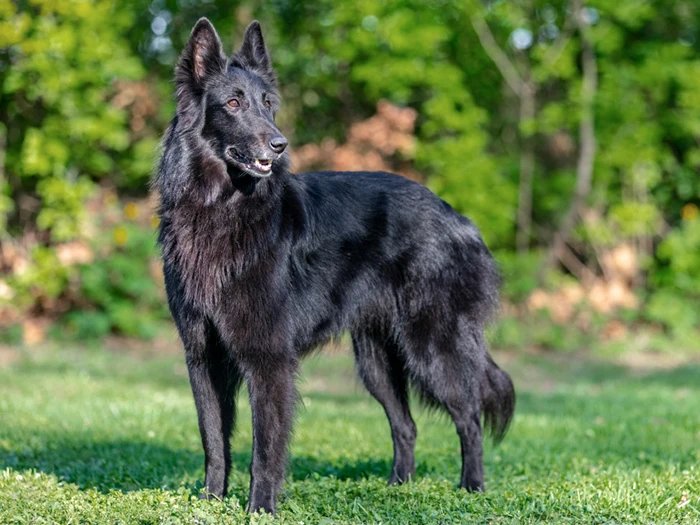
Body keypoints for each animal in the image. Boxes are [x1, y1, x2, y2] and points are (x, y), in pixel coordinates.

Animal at [156, 19, 516, 512]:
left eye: (267, 104)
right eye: (232, 103)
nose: (280, 144)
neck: (220, 207)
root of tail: (458, 217)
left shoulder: (269, 359)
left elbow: (264, 447)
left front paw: (260, 508)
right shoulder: (203, 357)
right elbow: (213, 440)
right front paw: (212, 502)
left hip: (433, 347)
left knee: (470, 417)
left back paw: (472, 488)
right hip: (376, 362)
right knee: (406, 425)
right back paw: (398, 488)